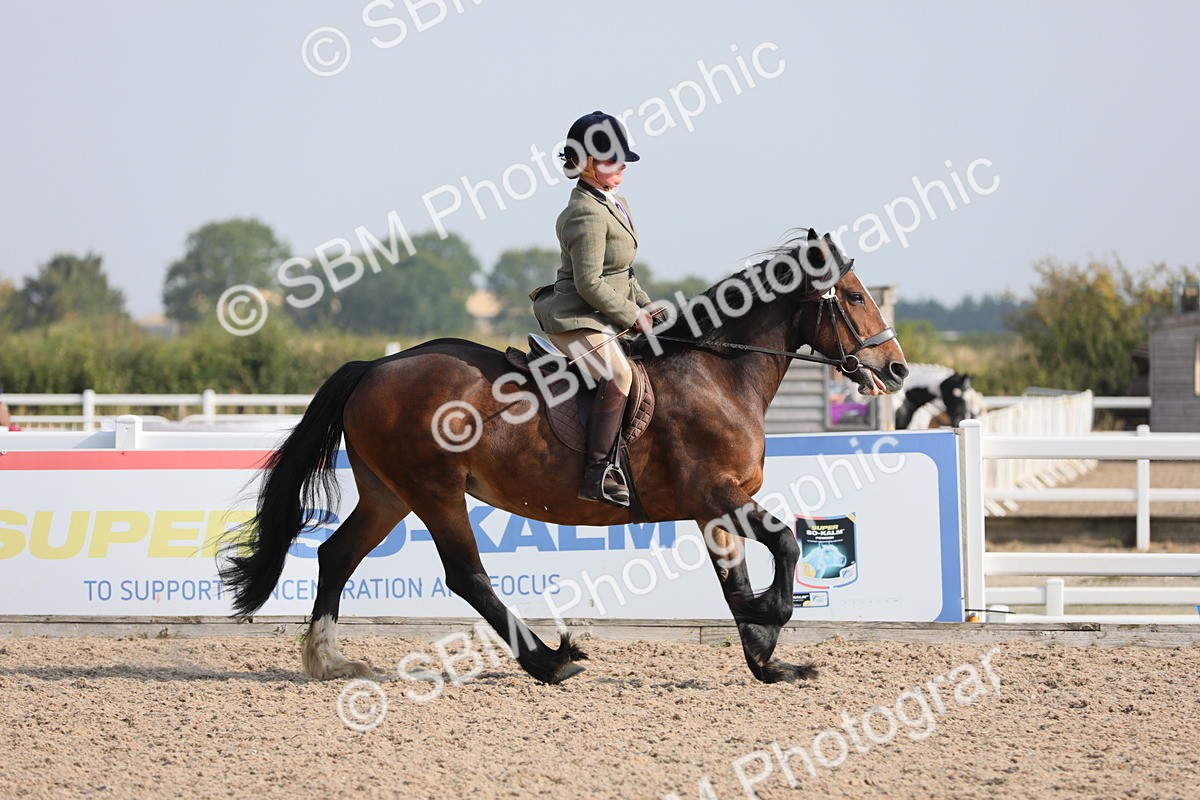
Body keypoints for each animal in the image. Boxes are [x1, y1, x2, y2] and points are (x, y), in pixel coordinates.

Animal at [220, 228, 908, 686]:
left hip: (390, 493)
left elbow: (742, 573)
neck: (719, 373)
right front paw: (769, 620)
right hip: (434, 489)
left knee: (337, 555)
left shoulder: (715, 505)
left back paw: (328, 659)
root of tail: (373, 367)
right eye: (852, 297)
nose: (897, 368)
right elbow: (782, 547)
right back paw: (549, 661)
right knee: (466, 576)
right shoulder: (716, 495)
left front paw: (768, 658)